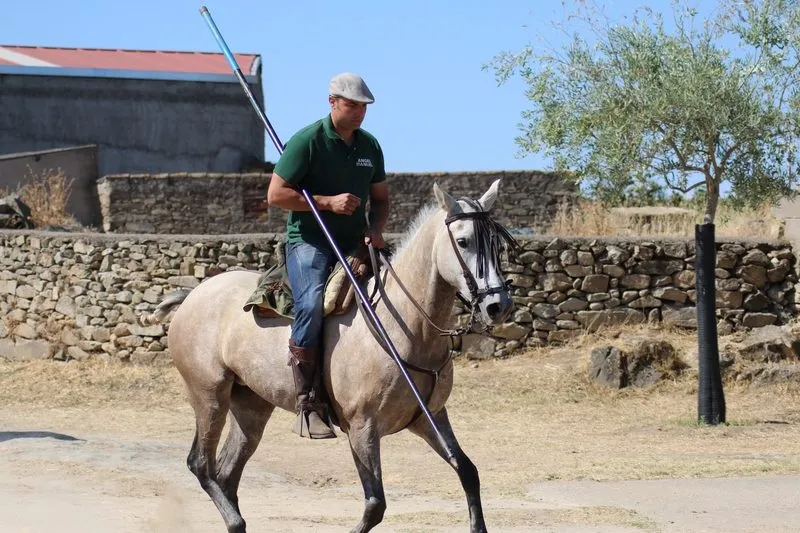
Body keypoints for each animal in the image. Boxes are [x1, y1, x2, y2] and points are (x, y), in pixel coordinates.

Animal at [141, 179, 517, 533]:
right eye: (464, 241)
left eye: (496, 244)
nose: (497, 305)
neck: (405, 325)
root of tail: (193, 294)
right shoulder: (362, 427)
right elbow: (374, 504)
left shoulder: (431, 417)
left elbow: (467, 471)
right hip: (209, 395)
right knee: (200, 464)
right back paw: (236, 521)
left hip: (250, 407)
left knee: (226, 474)